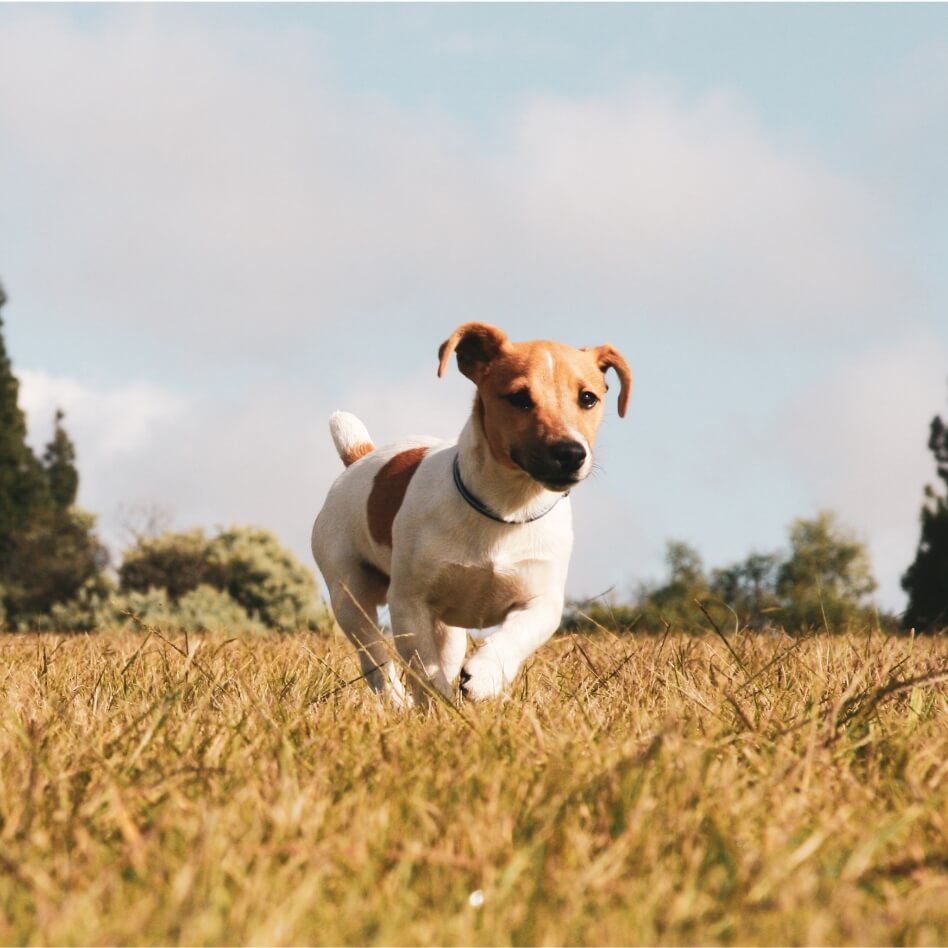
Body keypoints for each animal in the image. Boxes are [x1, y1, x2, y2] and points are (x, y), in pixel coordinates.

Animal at [314, 324, 632, 704]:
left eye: (588, 398)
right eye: (519, 398)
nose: (571, 453)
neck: (506, 509)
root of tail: (360, 457)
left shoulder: (543, 599)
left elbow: (518, 634)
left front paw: (485, 674)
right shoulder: (409, 603)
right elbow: (423, 669)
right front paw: (439, 707)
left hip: (448, 631)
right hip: (350, 592)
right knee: (373, 654)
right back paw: (396, 699)